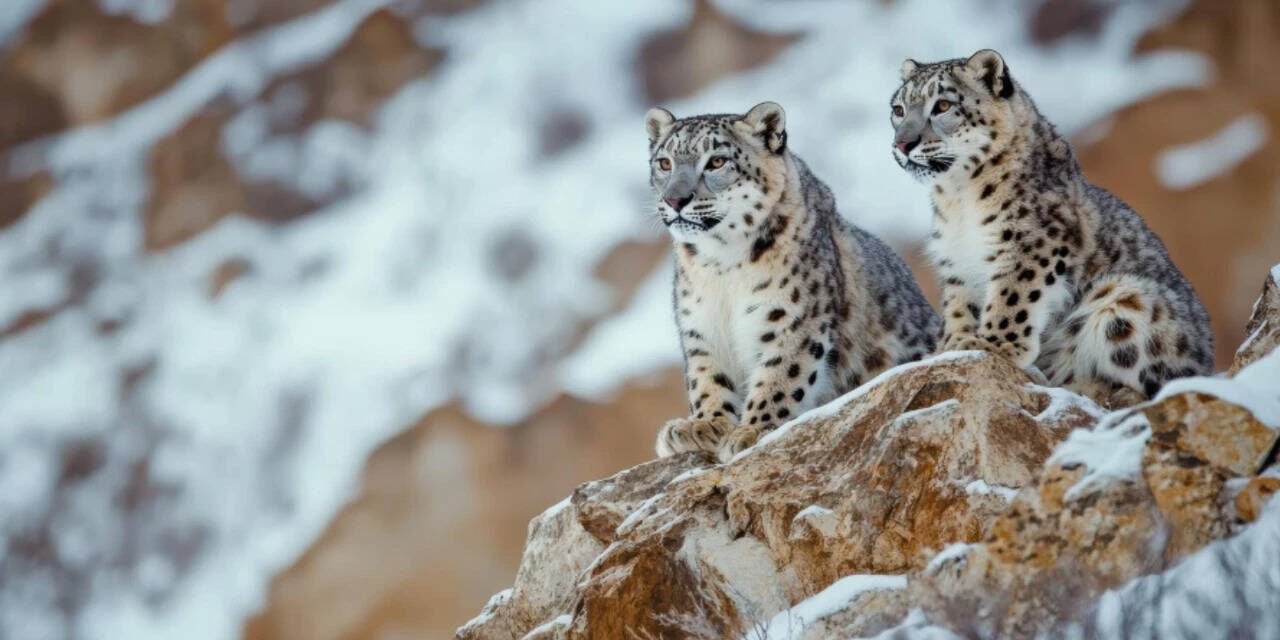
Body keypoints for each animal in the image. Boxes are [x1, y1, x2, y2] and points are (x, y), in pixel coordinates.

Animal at [647, 101, 941, 462]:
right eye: (664, 163)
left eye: (716, 161)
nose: (675, 200)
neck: (722, 267)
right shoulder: (701, 326)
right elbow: (707, 377)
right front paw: (703, 426)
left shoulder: (793, 316)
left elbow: (781, 373)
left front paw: (754, 429)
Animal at [889, 49, 1213, 406]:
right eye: (898, 110)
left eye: (943, 105)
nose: (902, 144)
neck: (959, 199)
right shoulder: (956, 259)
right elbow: (960, 305)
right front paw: (951, 345)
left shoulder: (1029, 242)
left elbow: (1011, 296)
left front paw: (993, 344)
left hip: (1128, 298)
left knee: (1157, 384)